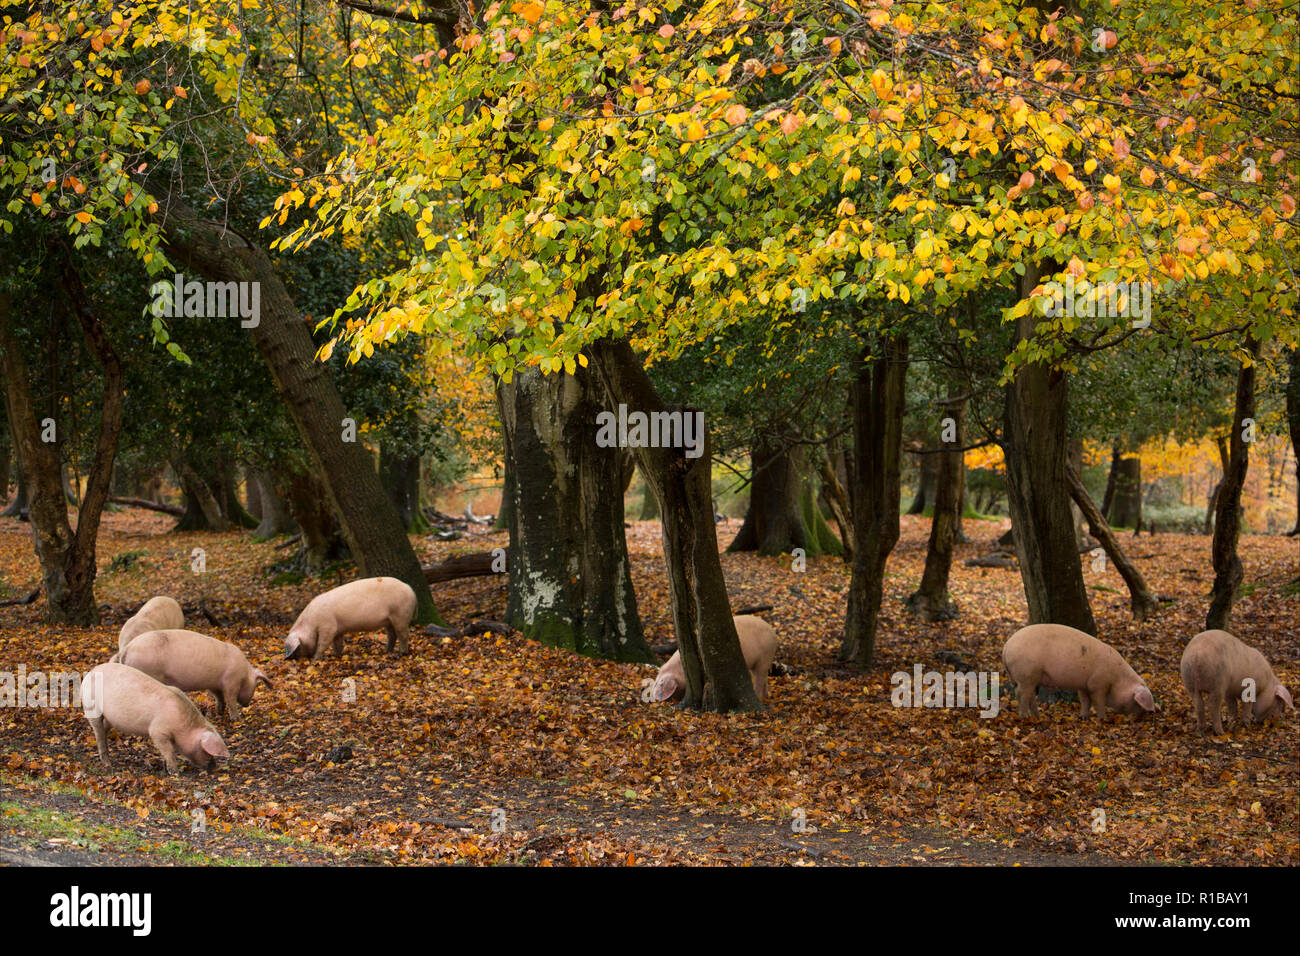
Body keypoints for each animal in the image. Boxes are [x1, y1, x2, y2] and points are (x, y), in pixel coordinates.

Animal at [79, 665, 226, 780]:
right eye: (206, 750)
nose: (214, 768)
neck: (183, 725)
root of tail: (91, 672)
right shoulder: (157, 731)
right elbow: (169, 750)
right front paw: (176, 773)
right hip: (91, 708)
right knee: (98, 731)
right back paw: (108, 765)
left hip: (109, 717)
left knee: (104, 729)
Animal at [118, 632, 273, 723]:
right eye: (255, 685)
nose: (247, 704)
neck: (244, 674)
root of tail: (127, 649)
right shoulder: (231, 682)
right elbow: (230, 700)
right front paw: (237, 719)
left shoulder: (214, 685)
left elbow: (219, 698)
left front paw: (219, 712)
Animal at [284, 580, 416, 660]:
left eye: (297, 647)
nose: (287, 658)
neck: (310, 623)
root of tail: (411, 590)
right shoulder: (337, 630)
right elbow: (337, 643)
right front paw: (337, 655)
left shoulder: (328, 627)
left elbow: (323, 643)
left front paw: (315, 659)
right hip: (389, 620)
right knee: (392, 635)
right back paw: (387, 651)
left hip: (400, 614)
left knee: (403, 634)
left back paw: (401, 653)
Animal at [998, 629, 1154, 717]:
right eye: (1136, 702)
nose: (1141, 717)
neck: (1117, 679)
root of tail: (1006, 646)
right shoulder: (1097, 684)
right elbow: (1098, 702)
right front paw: (1103, 719)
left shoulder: (1084, 685)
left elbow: (1085, 700)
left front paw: (1083, 717)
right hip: (1027, 674)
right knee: (1021, 694)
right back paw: (1024, 717)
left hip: (1030, 677)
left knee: (1029, 695)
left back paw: (1037, 716)